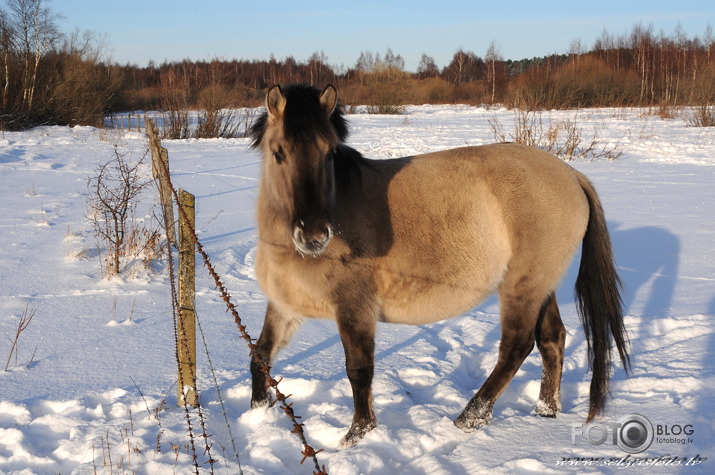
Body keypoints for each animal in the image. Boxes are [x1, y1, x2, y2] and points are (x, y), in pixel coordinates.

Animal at [249, 83, 628, 448]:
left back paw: (469, 418)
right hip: (542, 285)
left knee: (516, 347)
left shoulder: (354, 308)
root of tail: (572, 175)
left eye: (330, 152)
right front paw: (258, 410)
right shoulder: (283, 307)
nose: (314, 236)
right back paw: (545, 411)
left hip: (522, 287)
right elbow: (261, 354)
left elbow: (359, 371)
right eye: (279, 153)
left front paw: (357, 436)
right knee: (552, 338)